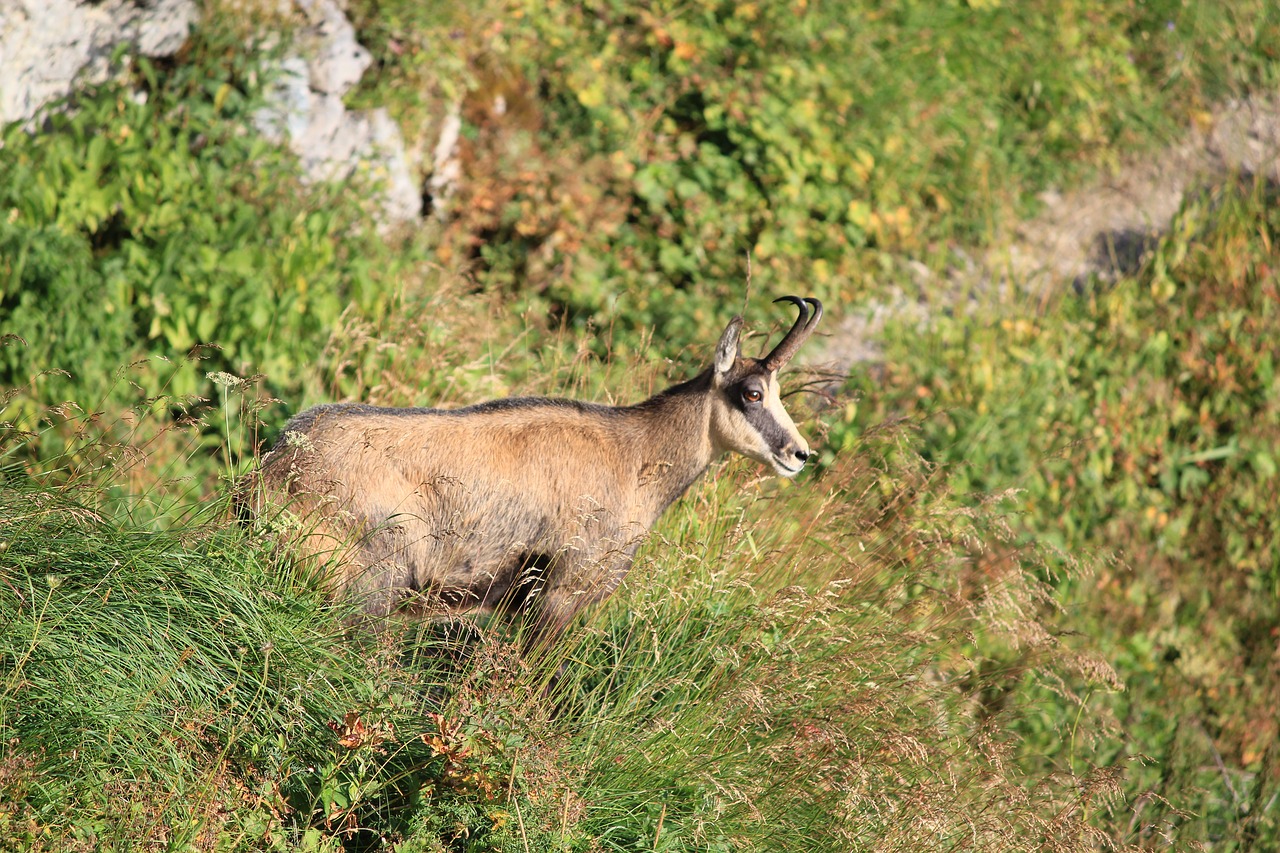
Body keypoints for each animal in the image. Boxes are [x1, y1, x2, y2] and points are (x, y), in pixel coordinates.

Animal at [241, 294, 819, 637]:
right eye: (752, 392)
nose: (800, 454)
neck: (633, 456)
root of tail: (271, 472)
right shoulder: (563, 592)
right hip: (374, 577)